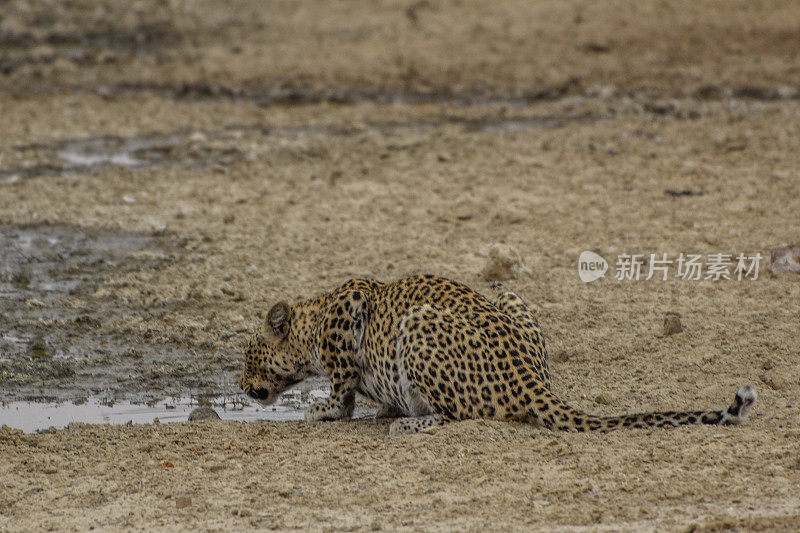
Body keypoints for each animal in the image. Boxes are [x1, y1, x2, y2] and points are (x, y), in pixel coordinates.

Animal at [239, 276, 756, 434]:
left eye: (248, 357)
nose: (242, 388)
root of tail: (529, 376)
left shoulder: (349, 311)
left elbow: (342, 383)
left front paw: (325, 409)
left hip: (418, 323)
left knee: (458, 414)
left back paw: (411, 423)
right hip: (508, 293)